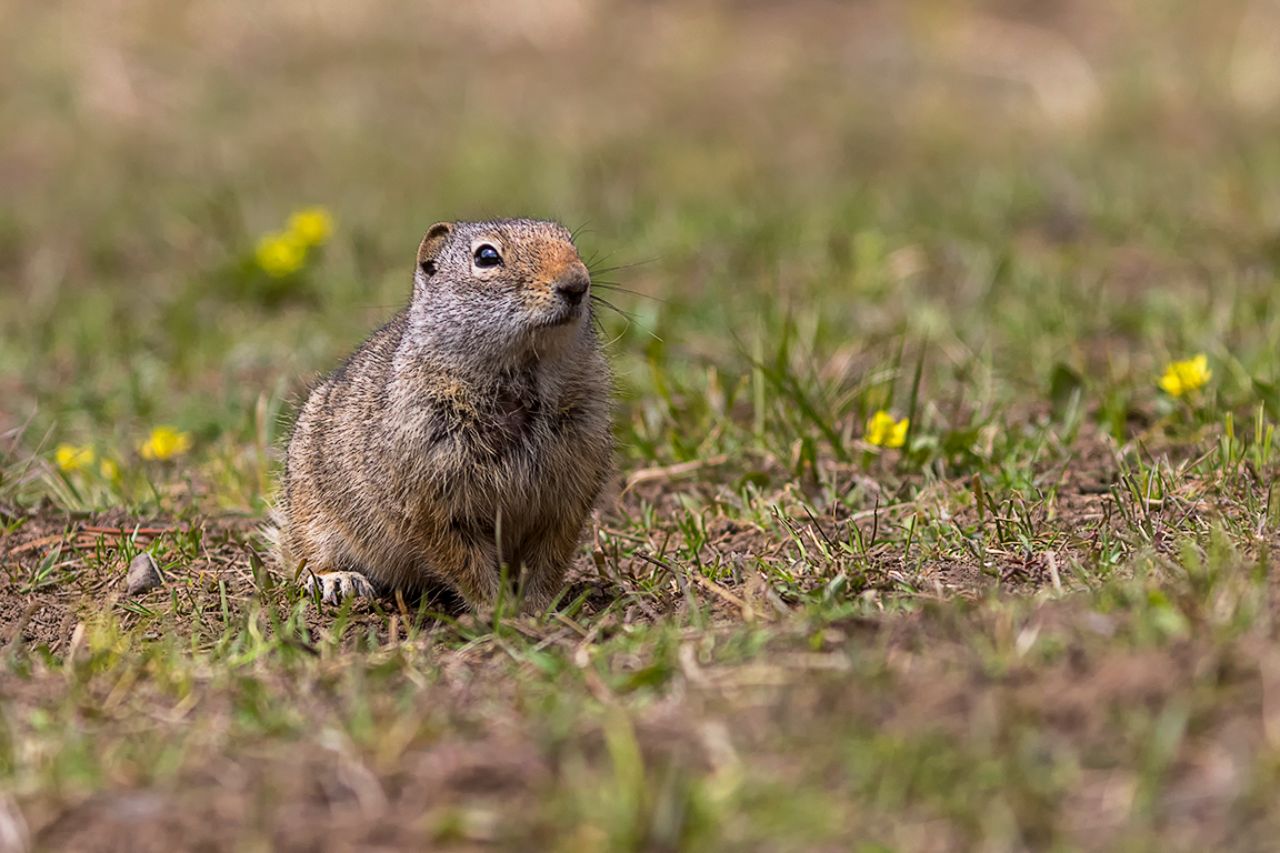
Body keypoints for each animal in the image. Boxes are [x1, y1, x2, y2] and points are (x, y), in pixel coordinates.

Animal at [269, 218, 614, 613]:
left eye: (570, 242)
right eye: (486, 256)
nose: (577, 282)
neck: (525, 370)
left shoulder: (569, 490)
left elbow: (549, 557)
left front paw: (536, 608)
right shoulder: (431, 497)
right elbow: (463, 560)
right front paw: (494, 609)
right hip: (312, 514)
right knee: (303, 557)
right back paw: (339, 580)